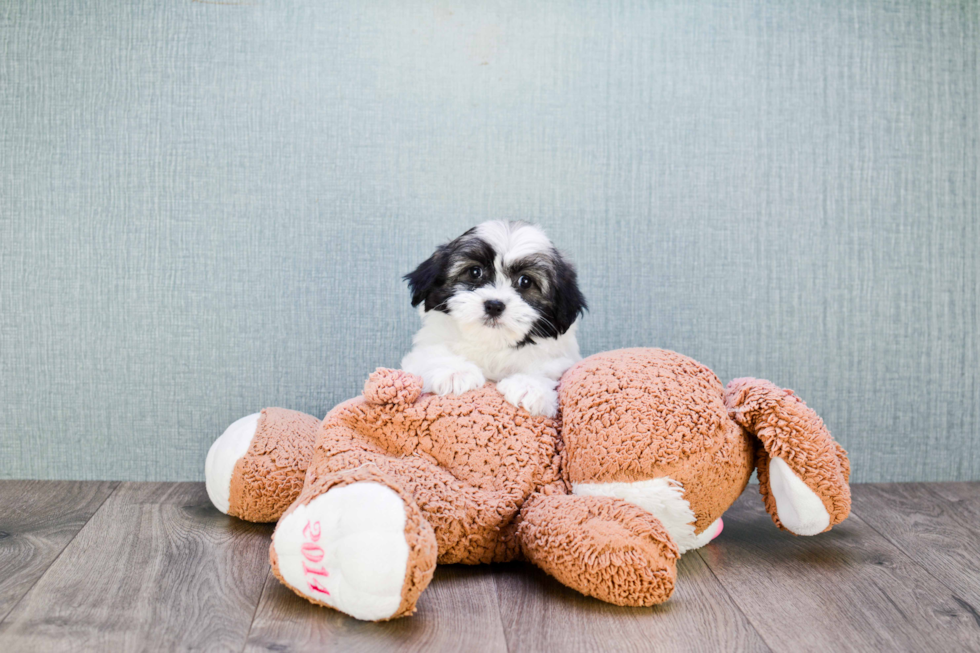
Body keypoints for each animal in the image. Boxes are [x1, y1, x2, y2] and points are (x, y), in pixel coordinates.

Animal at [400, 222, 584, 418]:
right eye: (475, 272)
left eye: (525, 281)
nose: (494, 305)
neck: (491, 342)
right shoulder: (424, 348)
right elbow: (432, 353)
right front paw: (455, 372)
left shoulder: (561, 358)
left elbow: (547, 368)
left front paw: (530, 385)